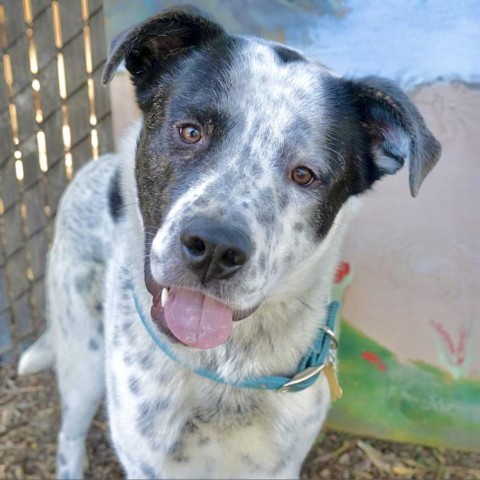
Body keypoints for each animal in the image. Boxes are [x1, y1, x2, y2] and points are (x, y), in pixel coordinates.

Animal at [16, 4, 440, 480]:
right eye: (190, 131)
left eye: (305, 174)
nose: (215, 249)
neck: (227, 368)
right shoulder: (147, 462)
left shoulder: (281, 464)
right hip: (82, 356)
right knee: (68, 434)